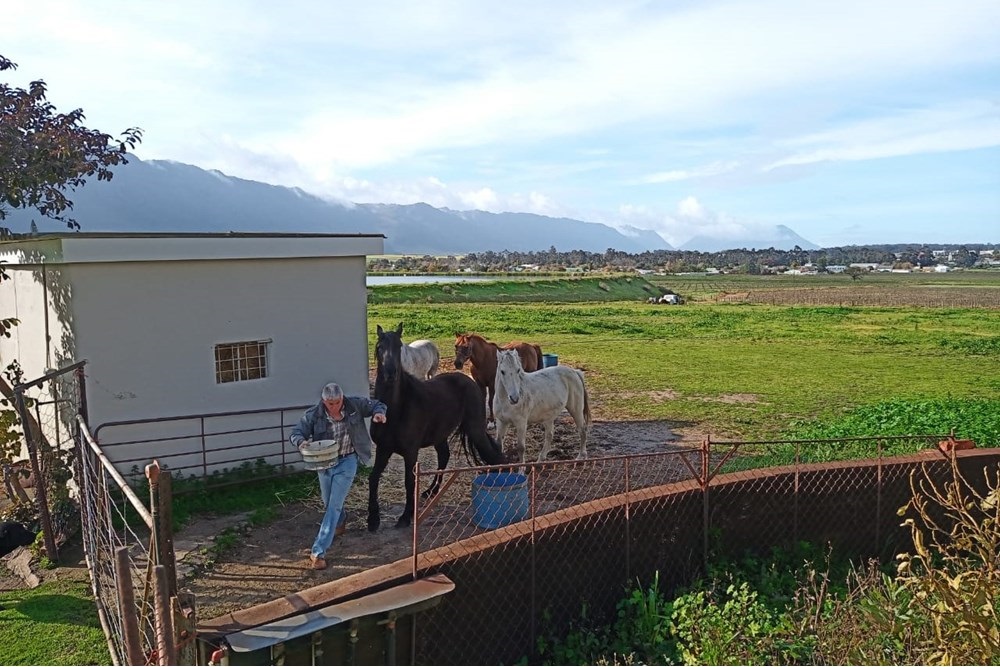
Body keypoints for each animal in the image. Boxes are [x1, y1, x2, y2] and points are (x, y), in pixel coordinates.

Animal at [368, 323, 506, 531]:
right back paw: (431, 491)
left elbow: (410, 482)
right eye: (379, 347)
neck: (396, 408)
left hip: (475, 430)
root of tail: (468, 381)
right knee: (444, 456)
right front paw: (373, 519)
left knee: (493, 453)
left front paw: (405, 517)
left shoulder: (410, 452)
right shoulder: (383, 449)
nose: (391, 373)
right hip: (440, 435)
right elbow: (374, 477)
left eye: (399, 346)